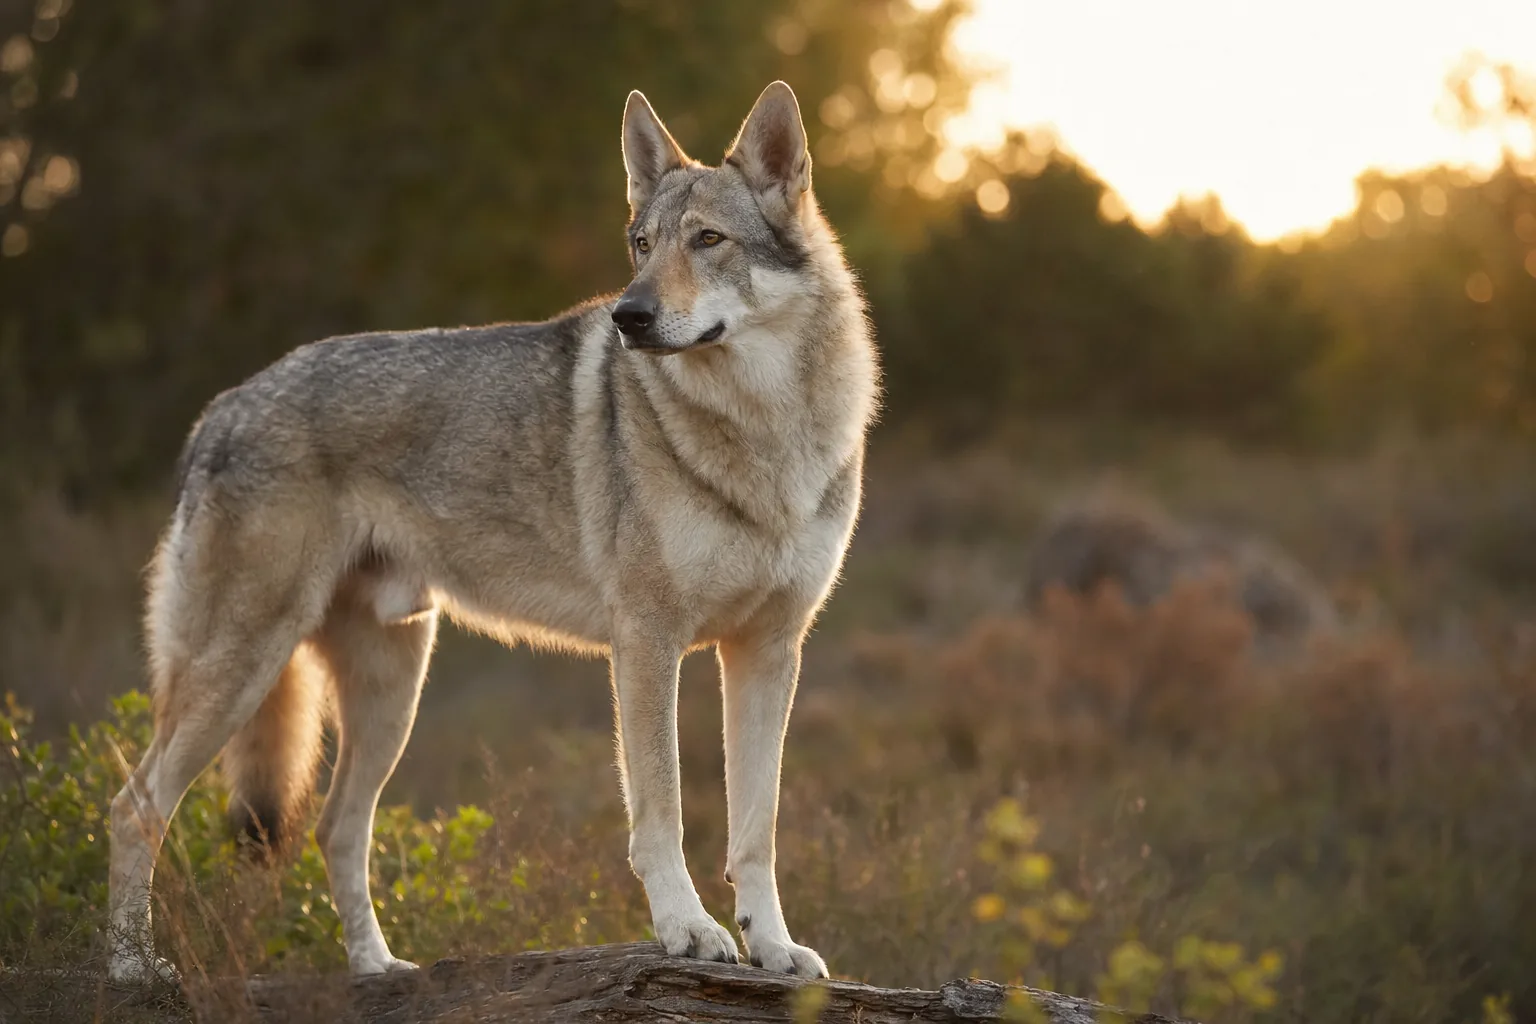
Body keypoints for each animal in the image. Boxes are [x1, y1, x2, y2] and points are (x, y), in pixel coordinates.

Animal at [106, 80, 879, 984]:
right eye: (641, 245)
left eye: (708, 239)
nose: (630, 315)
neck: (765, 431)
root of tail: (219, 409)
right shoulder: (646, 644)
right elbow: (662, 814)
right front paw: (688, 932)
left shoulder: (768, 650)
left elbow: (757, 829)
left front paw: (774, 947)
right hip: (247, 666)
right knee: (134, 807)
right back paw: (130, 970)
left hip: (391, 690)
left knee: (337, 828)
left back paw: (377, 969)